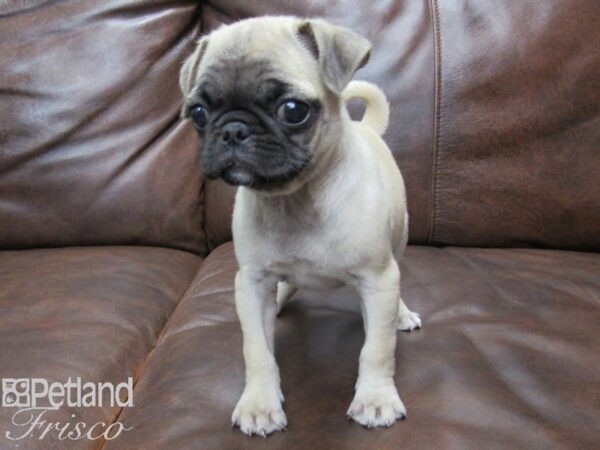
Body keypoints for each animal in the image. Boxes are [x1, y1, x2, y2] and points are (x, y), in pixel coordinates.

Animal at [180, 16, 420, 436]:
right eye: (198, 113)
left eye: (293, 110)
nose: (233, 129)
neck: (295, 199)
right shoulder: (252, 281)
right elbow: (256, 350)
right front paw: (259, 403)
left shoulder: (378, 277)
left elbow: (377, 349)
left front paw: (375, 399)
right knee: (285, 287)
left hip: (398, 243)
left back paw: (401, 313)